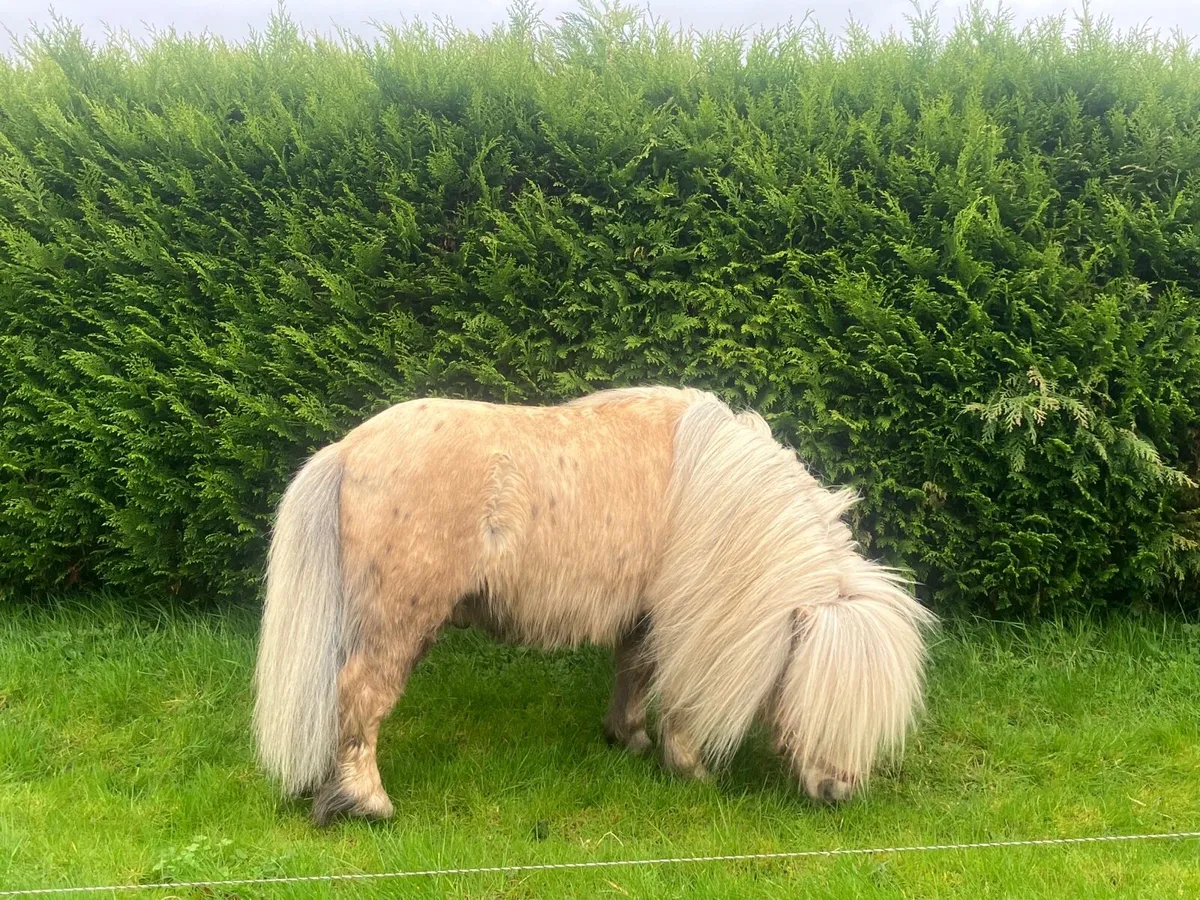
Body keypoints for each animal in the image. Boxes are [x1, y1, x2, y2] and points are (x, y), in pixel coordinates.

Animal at [252, 385, 936, 825]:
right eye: (820, 696)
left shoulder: (644, 616)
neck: (715, 489)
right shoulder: (683, 619)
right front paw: (688, 767)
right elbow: (675, 688)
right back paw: (369, 804)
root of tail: (348, 451)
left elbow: (635, 673)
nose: (838, 792)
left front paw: (627, 739)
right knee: (360, 694)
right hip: (399, 621)